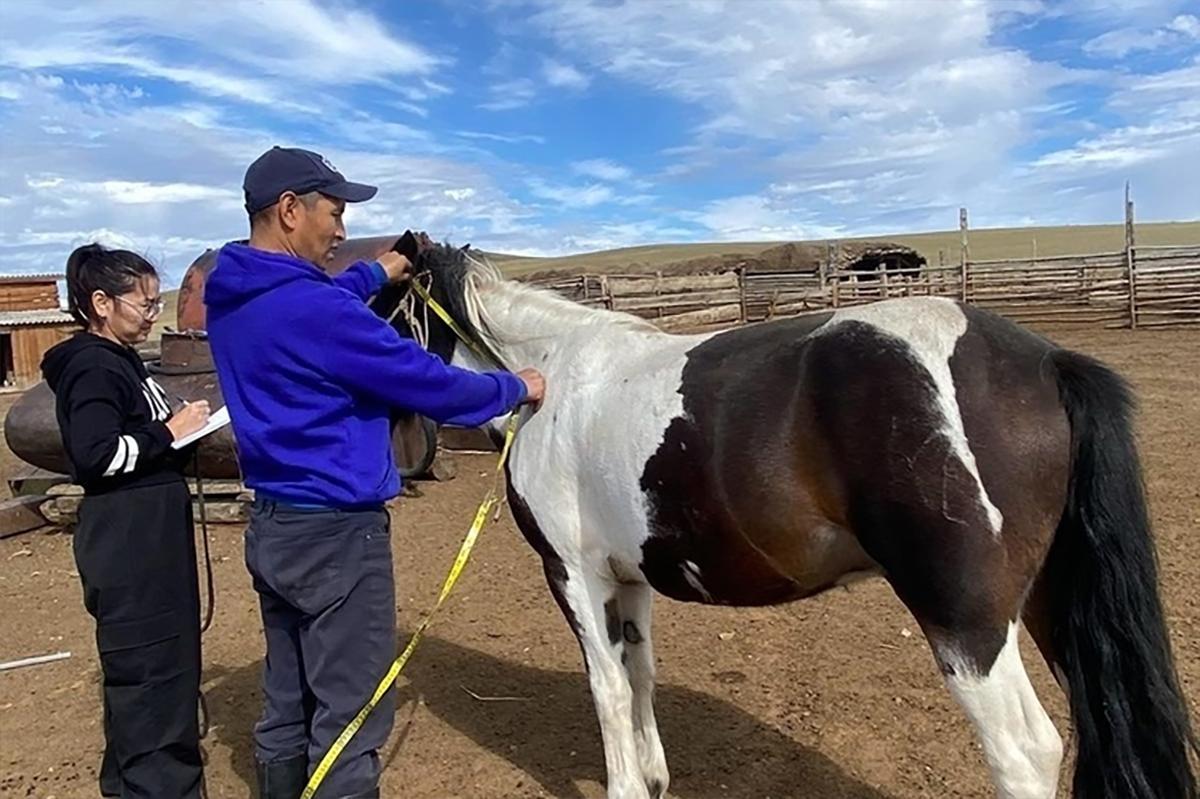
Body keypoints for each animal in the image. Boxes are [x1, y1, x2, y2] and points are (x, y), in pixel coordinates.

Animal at [369, 242, 1195, 796]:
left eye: (379, 299)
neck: (551, 376)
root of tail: (1048, 362)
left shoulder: (571, 573)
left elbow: (605, 688)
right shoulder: (626, 576)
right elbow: (639, 673)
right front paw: (656, 776)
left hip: (967, 620)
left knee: (1025, 751)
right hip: (1053, 605)